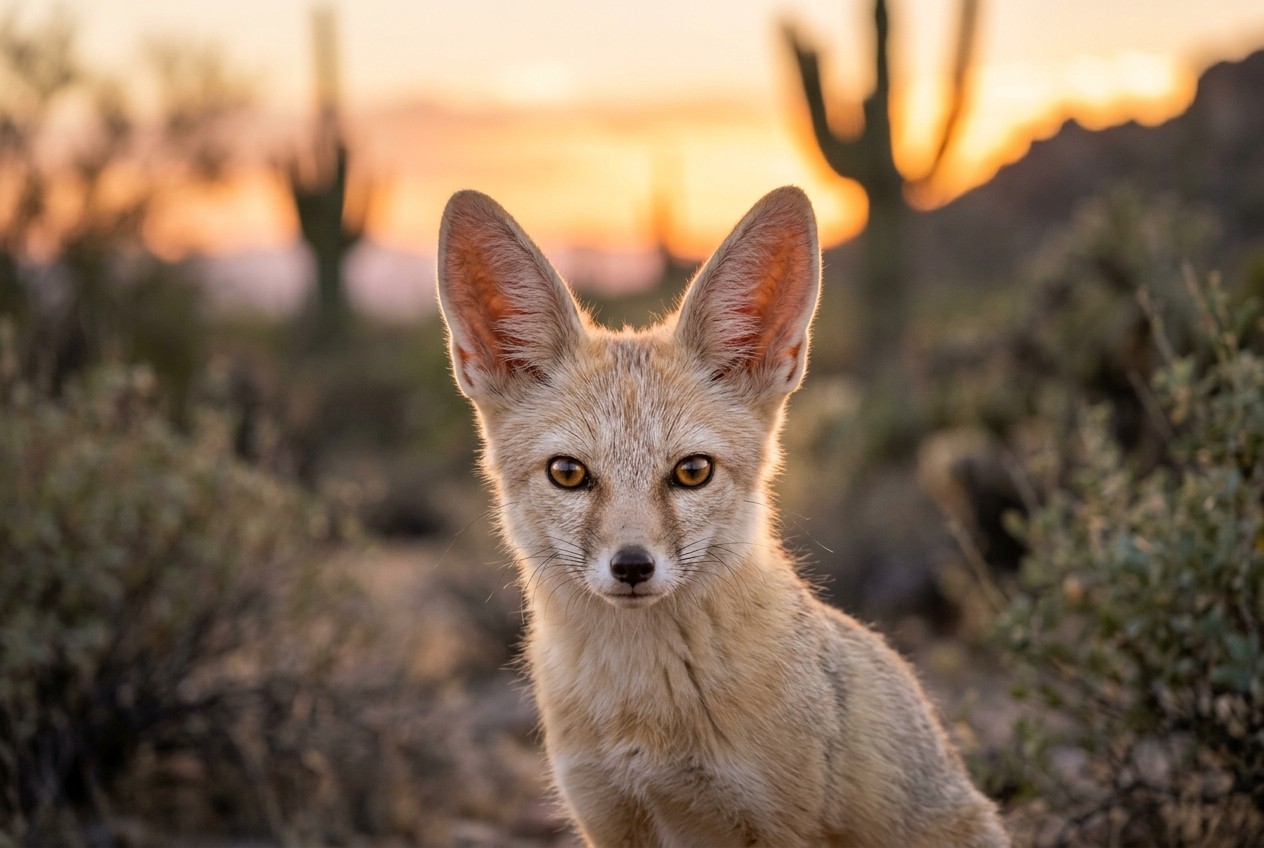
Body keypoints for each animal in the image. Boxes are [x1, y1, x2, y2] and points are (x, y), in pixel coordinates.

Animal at [436, 186, 1009, 848]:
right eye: (568, 473)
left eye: (692, 471)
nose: (632, 566)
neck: (644, 709)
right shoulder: (608, 817)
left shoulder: (775, 823)